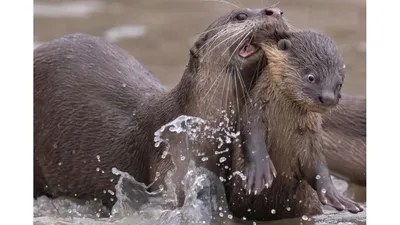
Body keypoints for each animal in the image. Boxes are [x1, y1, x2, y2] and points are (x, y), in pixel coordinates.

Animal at [228, 29, 362, 221]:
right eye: (311, 77)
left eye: (339, 84)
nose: (328, 98)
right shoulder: (254, 111)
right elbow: (251, 136)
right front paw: (260, 171)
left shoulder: (310, 137)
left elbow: (317, 164)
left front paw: (334, 195)